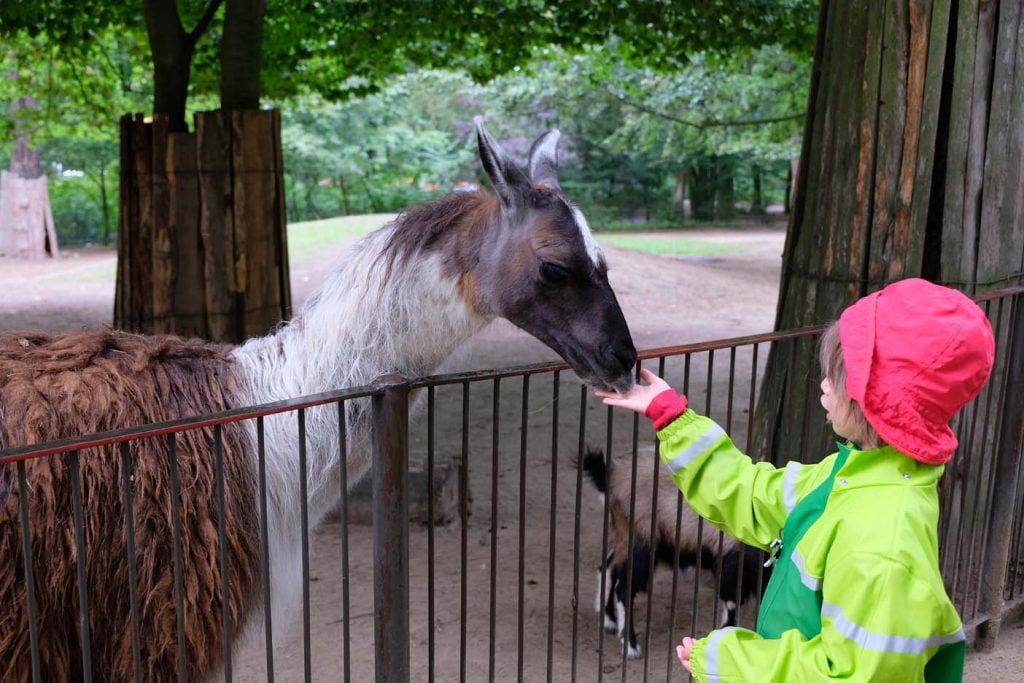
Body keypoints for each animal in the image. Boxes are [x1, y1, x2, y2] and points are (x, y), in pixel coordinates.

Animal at [585, 448, 770, 663]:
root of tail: (613, 475)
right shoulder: (733, 564)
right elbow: (732, 603)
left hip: (628, 537)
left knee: (608, 566)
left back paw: (609, 620)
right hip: (643, 544)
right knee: (624, 588)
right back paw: (630, 646)